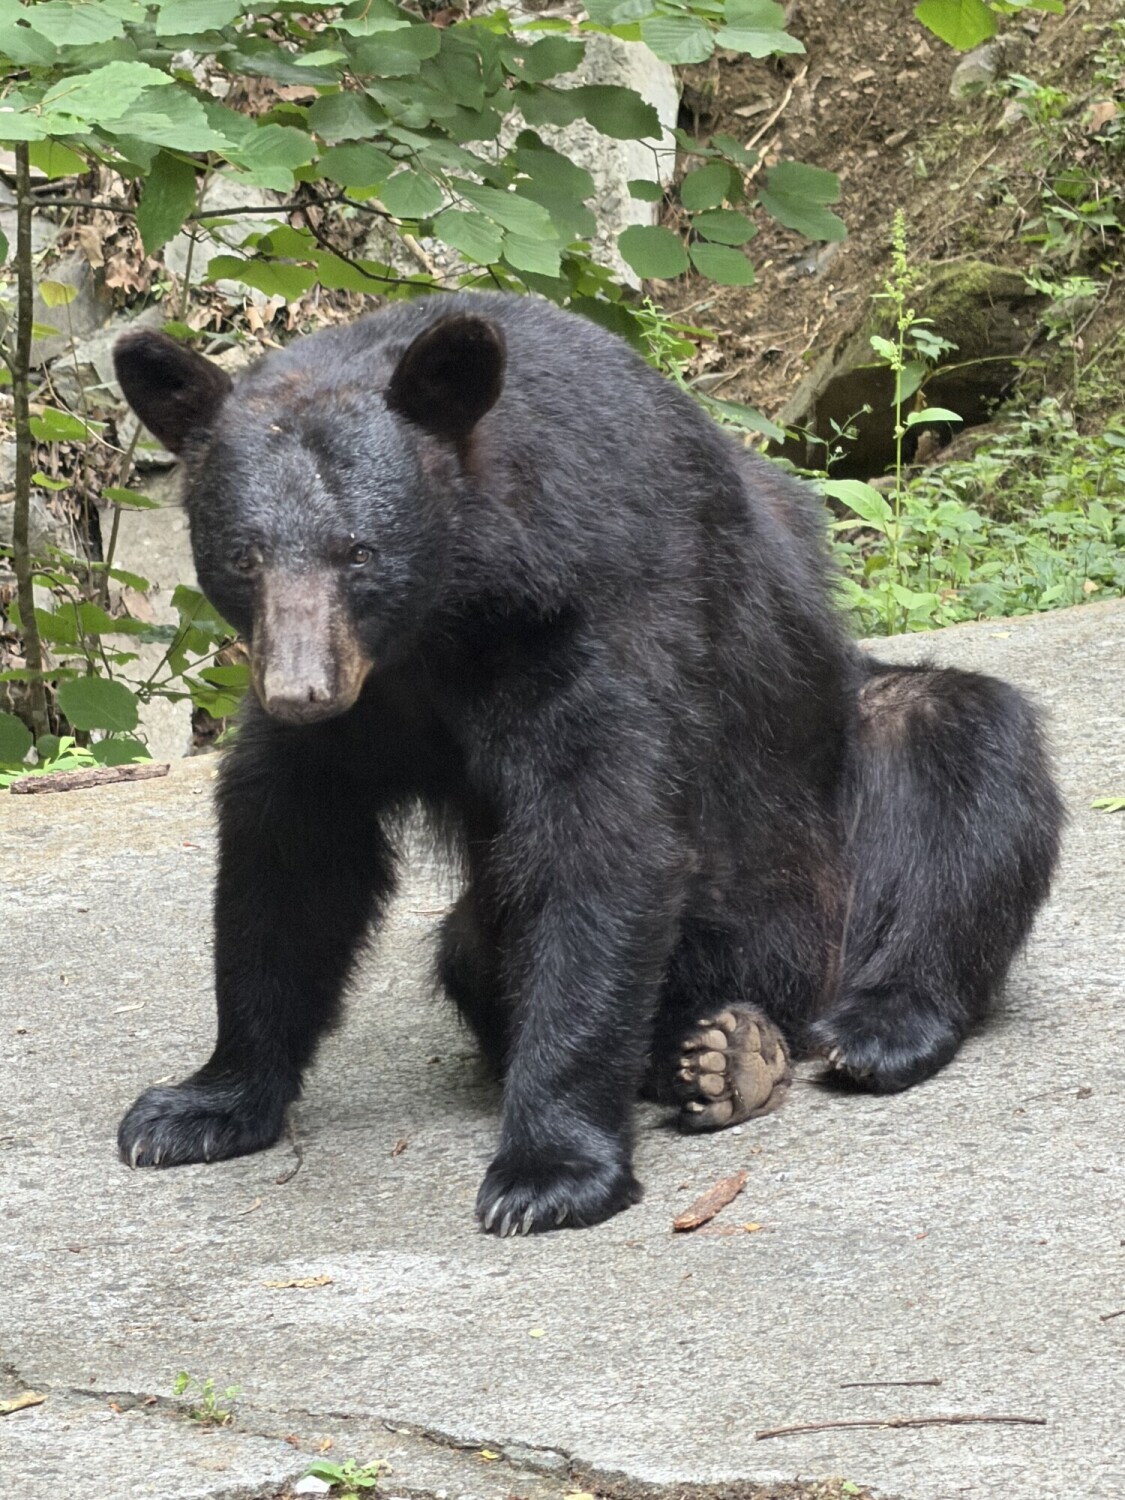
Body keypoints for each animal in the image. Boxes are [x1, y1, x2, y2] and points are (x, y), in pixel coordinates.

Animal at [112, 292, 1062, 1235]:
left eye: (359, 551)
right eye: (244, 555)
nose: (301, 690)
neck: (447, 622)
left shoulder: (597, 620)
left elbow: (600, 840)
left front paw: (549, 1170)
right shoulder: (358, 712)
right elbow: (290, 855)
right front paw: (199, 1105)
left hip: (841, 810)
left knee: (967, 757)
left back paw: (870, 1027)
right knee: (474, 950)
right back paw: (716, 1056)